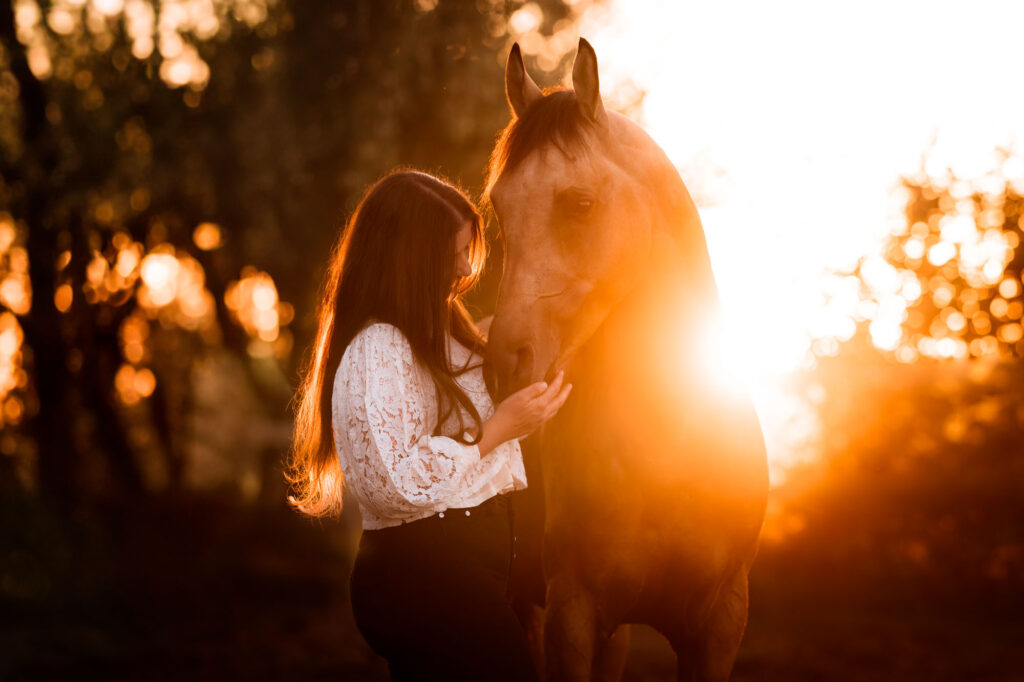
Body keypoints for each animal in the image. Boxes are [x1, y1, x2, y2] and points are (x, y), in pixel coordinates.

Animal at [483, 39, 770, 682]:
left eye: (580, 203)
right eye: (498, 211)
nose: (505, 364)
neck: (667, 448)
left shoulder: (722, 622)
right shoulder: (570, 617)